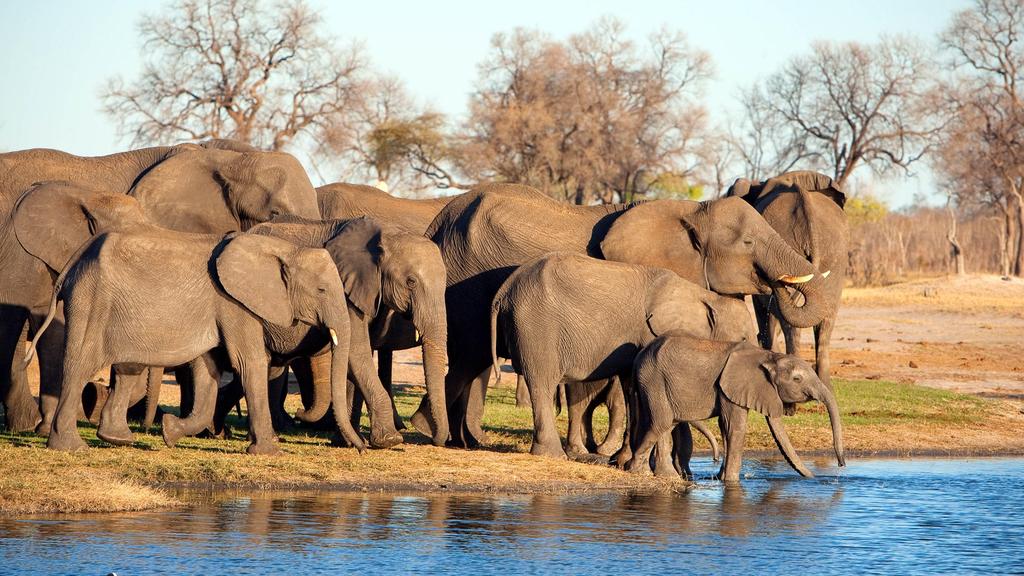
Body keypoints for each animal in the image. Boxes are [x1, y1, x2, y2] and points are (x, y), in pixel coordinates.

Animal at [22, 223, 361, 454]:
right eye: (321, 290)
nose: (359, 448)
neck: (284, 248)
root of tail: (74, 261)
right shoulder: (234, 302)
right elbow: (249, 362)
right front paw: (269, 452)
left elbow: (207, 370)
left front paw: (170, 433)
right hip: (92, 301)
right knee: (80, 366)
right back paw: (71, 447)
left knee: (125, 368)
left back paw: (117, 439)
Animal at [209, 214, 450, 447]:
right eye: (411, 282)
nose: (435, 440)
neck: (386, 232)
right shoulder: (345, 290)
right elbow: (357, 352)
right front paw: (389, 440)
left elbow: (356, 358)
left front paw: (348, 441)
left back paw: (221, 430)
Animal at [489, 252, 756, 460]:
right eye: (744, 338)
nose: (716, 460)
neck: (706, 298)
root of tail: (503, 290)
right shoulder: (650, 332)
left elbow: (631, 387)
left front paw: (622, 459)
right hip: (536, 326)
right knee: (542, 383)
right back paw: (553, 455)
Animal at [628, 335, 846, 482]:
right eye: (797, 379)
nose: (841, 465)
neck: (768, 355)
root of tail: (639, 356)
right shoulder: (733, 385)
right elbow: (735, 427)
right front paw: (731, 481)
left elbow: (725, 426)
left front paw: (721, 477)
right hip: (654, 379)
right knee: (661, 422)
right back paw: (642, 472)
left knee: (663, 423)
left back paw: (657, 474)